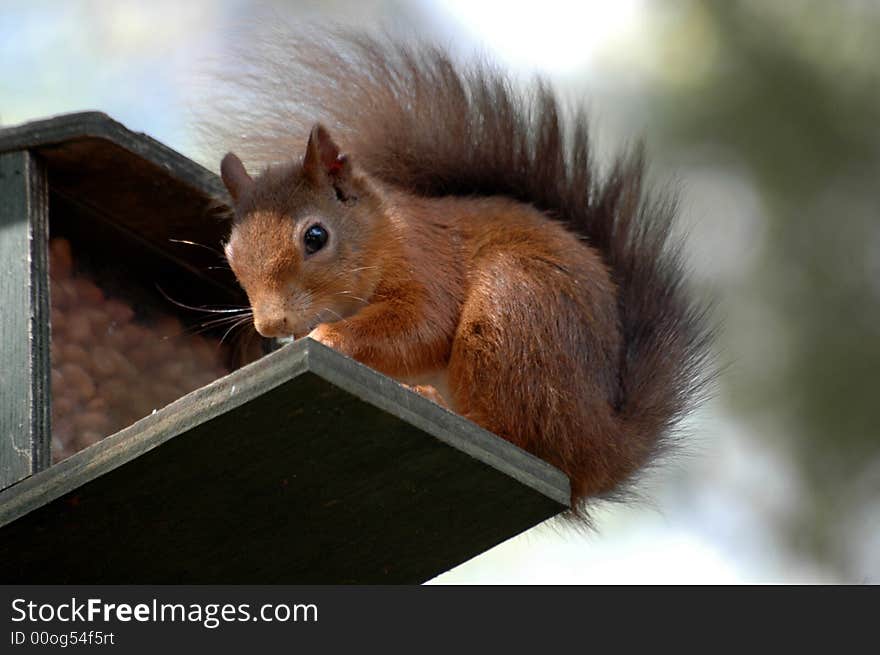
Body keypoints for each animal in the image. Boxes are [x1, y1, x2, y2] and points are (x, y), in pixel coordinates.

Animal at [208, 32, 716, 512]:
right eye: (230, 252)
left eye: (315, 237)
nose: (270, 324)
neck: (383, 236)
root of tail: (603, 442)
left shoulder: (428, 263)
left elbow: (424, 324)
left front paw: (327, 338)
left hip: (514, 310)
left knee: (513, 434)